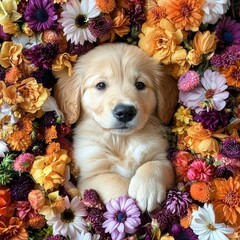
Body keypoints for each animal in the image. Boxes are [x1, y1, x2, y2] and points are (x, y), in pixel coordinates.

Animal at [54, 43, 178, 212]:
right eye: (101, 85)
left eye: (140, 84)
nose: (125, 112)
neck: (121, 140)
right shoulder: (90, 176)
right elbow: (114, 181)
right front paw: (129, 207)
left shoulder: (160, 154)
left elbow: (156, 164)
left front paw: (146, 190)